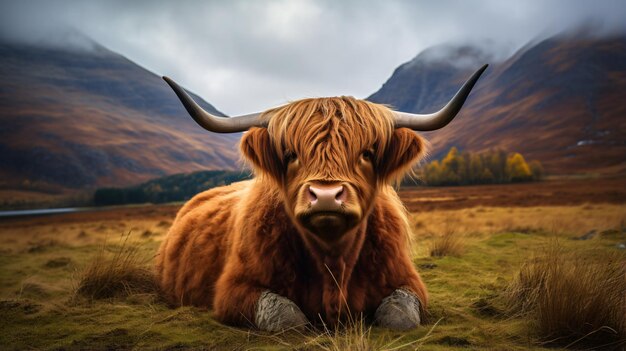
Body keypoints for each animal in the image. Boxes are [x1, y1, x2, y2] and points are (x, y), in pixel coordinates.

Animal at [154, 64, 486, 332]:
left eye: (367, 153)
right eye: (290, 154)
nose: (326, 196)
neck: (333, 261)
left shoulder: (407, 281)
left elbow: (400, 317)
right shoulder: (233, 290)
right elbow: (287, 317)